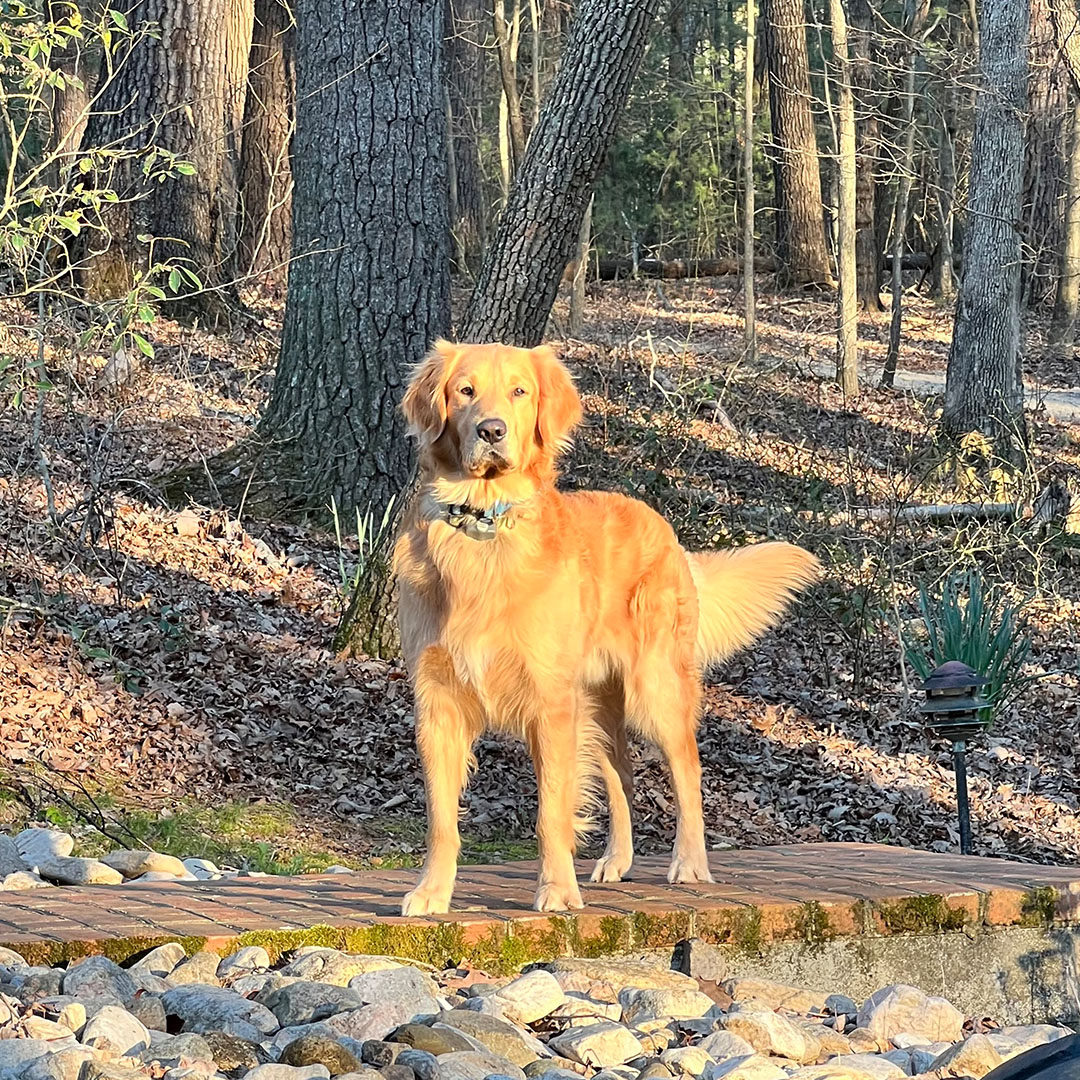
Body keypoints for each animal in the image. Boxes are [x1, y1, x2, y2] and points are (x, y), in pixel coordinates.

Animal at [397, 341, 816, 915]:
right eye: (465, 390)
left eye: (519, 391)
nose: (492, 431)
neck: (484, 527)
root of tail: (668, 531)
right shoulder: (438, 699)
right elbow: (441, 817)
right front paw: (431, 892)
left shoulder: (550, 703)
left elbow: (551, 811)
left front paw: (556, 890)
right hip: (596, 702)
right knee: (623, 775)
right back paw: (617, 859)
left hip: (654, 687)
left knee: (687, 769)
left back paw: (689, 863)